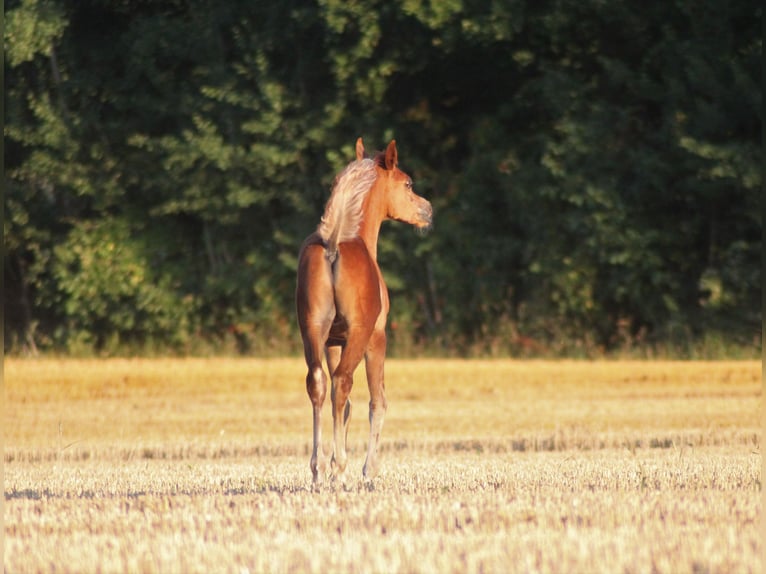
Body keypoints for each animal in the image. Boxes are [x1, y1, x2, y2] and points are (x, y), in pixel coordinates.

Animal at [296, 140, 436, 486]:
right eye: (408, 183)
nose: (427, 210)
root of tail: (333, 245)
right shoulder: (376, 339)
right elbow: (377, 401)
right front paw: (367, 470)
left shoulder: (333, 342)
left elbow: (344, 406)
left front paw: (334, 464)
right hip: (361, 336)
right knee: (343, 382)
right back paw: (340, 470)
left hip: (312, 332)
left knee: (320, 384)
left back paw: (319, 471)